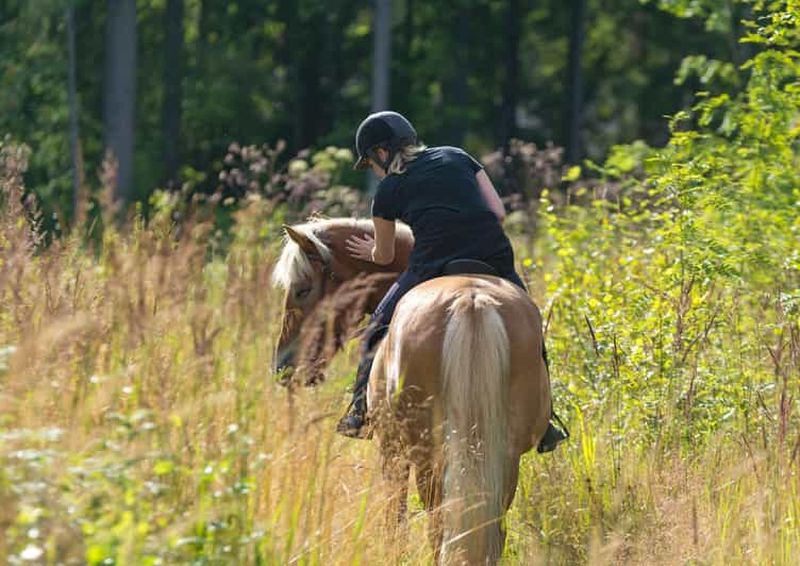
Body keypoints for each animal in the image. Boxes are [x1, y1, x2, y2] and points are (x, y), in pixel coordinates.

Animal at [272, 218, 551, 564]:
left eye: (302, 290)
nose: (283, 366)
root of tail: (470, 302)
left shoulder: (391, 450)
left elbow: (396, 519)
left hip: (427, 455)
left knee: (437, 525)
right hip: (504, 454)